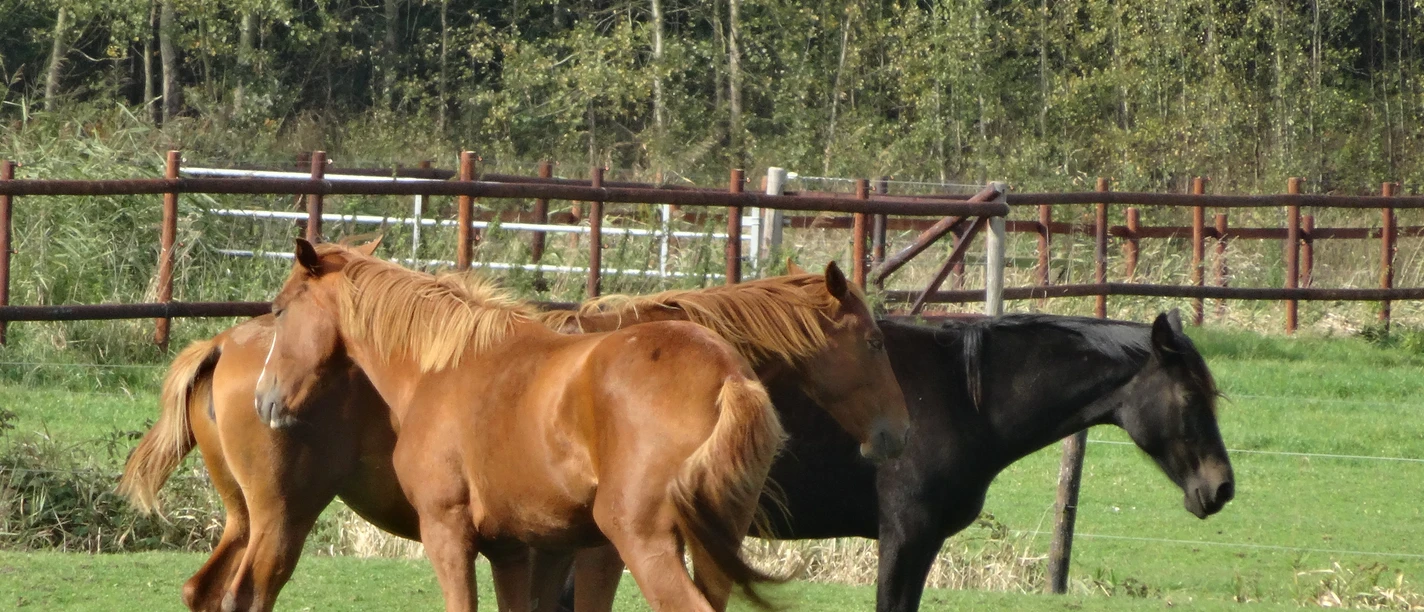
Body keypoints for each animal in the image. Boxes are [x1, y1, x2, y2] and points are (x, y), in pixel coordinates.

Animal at [119, 244, 910, 610]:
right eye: (874, 341)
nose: (898, 433)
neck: (438, 367)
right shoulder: (532, 549)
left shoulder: (481, 539)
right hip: (267, 518)